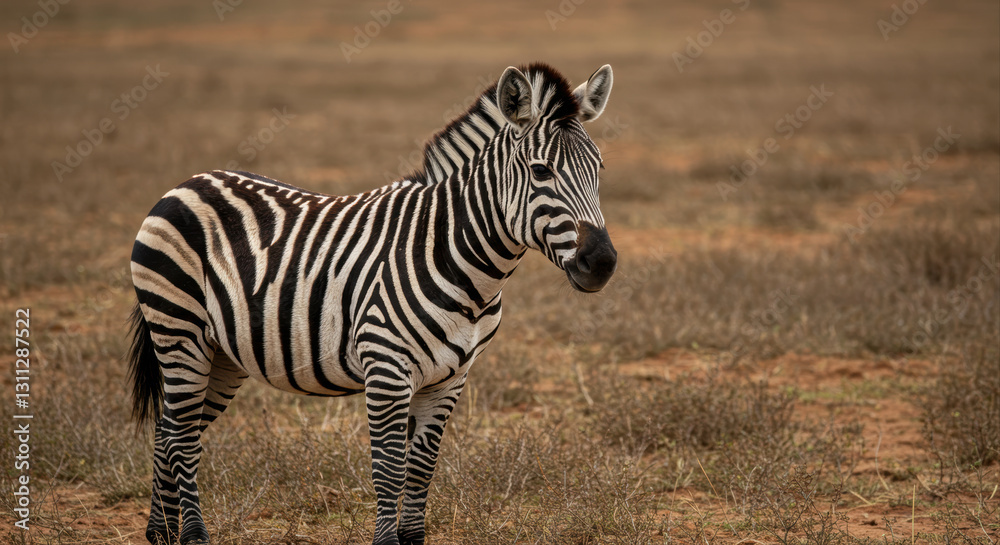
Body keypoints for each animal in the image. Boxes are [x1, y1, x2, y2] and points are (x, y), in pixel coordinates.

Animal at [127, 62, 617, 545]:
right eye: (541, 171)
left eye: (599, 168)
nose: (602, 263)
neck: (459, 261)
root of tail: (187, 183)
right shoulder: (387, 369)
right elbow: (390, 470)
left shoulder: (450, 379)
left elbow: (420, 470)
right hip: (179, 330)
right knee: (182, 436)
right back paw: (192, 534)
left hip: (223, 355)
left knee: (169, 430)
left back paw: (161, 531)